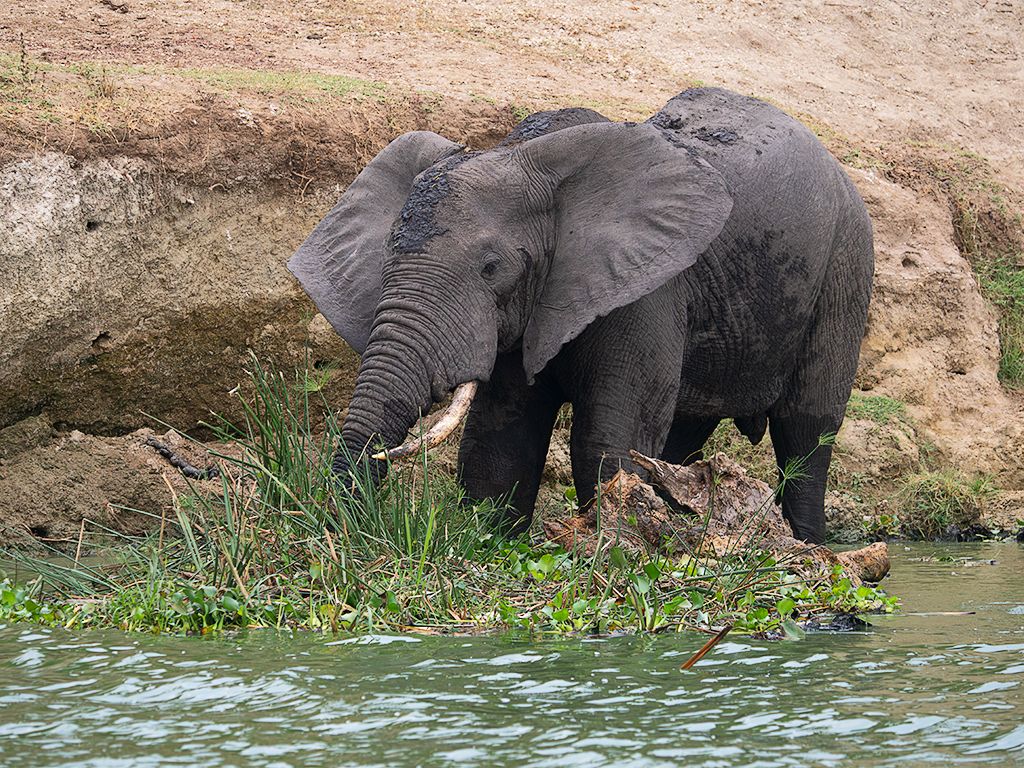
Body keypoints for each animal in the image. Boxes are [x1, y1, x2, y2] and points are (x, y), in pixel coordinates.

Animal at [288, 87, 874, 544]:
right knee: (684, 437)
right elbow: (500, 441)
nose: (338, 527)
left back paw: (811, 546)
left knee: (806, 430)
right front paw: (498, 542)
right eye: (388, 255)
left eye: (492, 267)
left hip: (846, 261)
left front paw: (613, 547)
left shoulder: (646, 290)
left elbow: (608, 441)